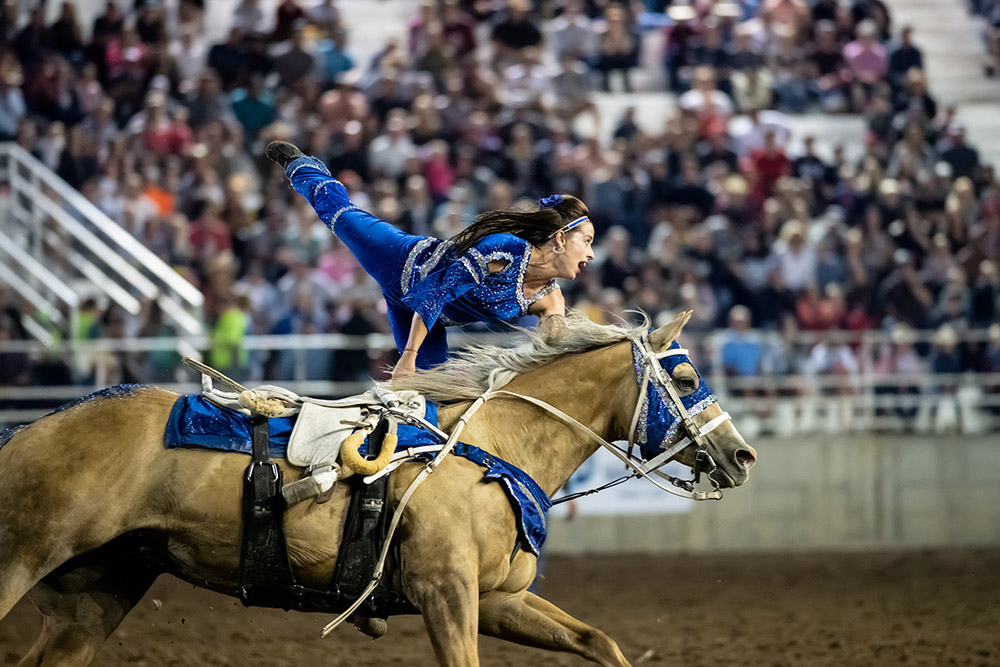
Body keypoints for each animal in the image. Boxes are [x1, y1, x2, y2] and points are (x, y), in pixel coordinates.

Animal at [0, 314, 752, 667]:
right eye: (685, 379)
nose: (740, 455)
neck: (495, 450)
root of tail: (28, 428)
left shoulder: (496, 600)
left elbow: (598, 640)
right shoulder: (447, 595)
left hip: (95, 593)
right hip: (20, 560)